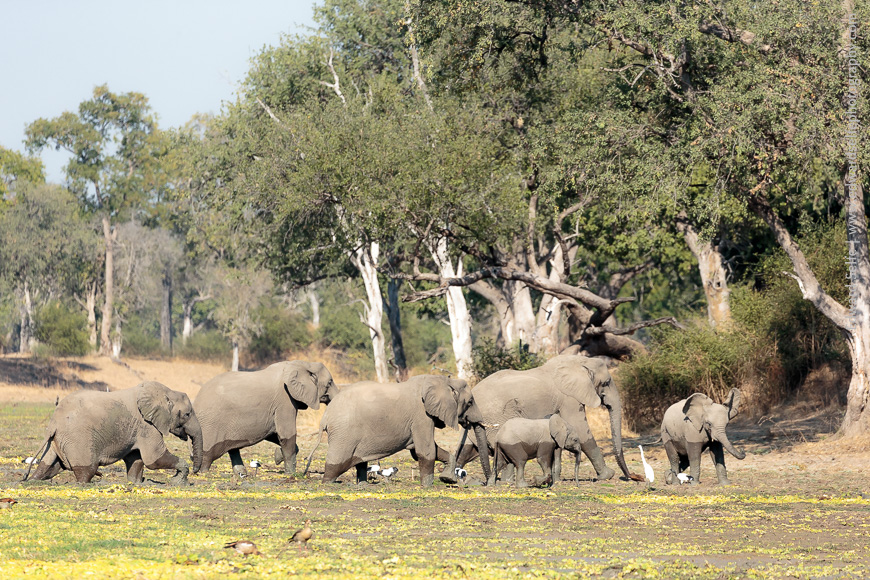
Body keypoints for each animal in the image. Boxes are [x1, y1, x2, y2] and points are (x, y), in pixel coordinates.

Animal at [25, 381, 202, 484]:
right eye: (187, 414)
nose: (196, 471)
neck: (166, 392)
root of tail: (54, 422)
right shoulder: (147, 425)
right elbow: (154, 459)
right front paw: (179, 480)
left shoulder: (138, 429)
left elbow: (135, 459)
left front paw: (135, 483)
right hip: (77, 438)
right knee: (86, 470)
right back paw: (88, 483)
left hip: (57, 440)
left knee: (48, 466)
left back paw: (32, 480)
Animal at [194, 360, 337, 477]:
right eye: (329, 382)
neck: (302, 364)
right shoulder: (284, 400)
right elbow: (287, 434)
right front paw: (290, 474)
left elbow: (274, 434)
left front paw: (278, 457)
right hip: (211, 424)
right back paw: (202, 472)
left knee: (232, 447)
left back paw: (242, 474)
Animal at [304, 375, 484, 486]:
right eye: (470, 402)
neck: (443, 380)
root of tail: (326, 416)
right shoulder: (421, 416)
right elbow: (425, 451)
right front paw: (428, 486)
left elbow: (422, 450)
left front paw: (448, 478)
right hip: (344, 433)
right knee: (337, 461)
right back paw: (329, 484)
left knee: (360, 461)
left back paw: (363, 485)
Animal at [442, 354, 630, 485]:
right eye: (606, 383)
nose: (629, 477)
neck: (581, 361)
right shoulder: (568, 397)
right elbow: (581, 430)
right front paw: (608, 475)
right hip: (497, 417)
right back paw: (506, 481)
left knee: (469, 448)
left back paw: (448, 477)